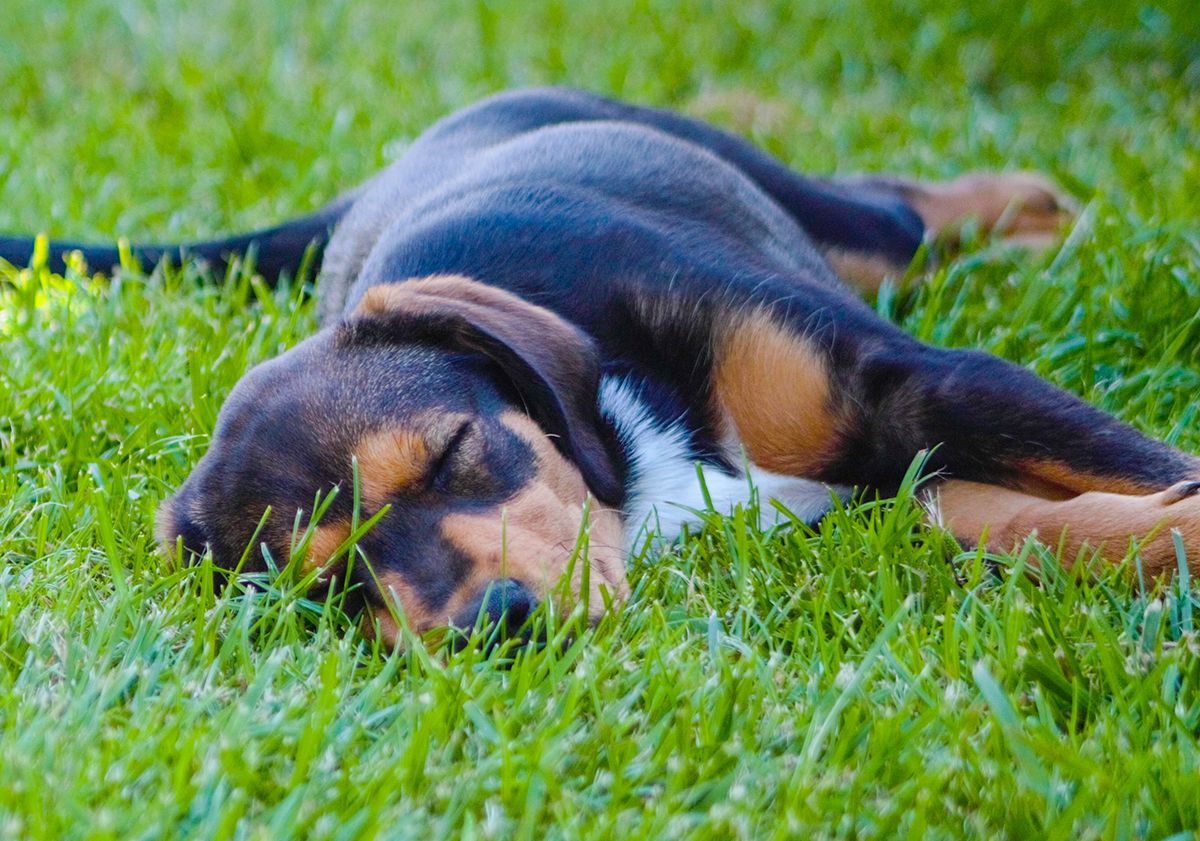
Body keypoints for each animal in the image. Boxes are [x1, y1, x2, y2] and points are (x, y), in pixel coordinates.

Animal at [4, 86, 1195, 643]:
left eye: (451, 453)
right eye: (326, 589)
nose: (491, 628)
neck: (627, 449)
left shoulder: (919, 385)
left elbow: (1142, 465)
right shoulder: (863, 505)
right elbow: (1026, 521)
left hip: (824, 221)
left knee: (906, 205)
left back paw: (1055, 218)